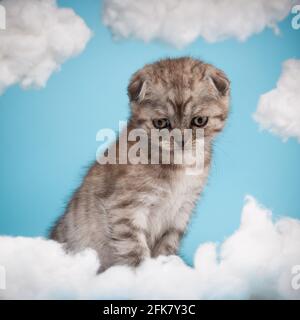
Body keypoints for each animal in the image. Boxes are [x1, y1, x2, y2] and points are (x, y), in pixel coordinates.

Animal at [50, 57, 231, 270]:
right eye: (161, 123)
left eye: (200, 121)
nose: (181, 140)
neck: (178, 166)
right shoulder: (125, 209)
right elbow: (134, 250)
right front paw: (145, 274)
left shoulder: (181, 212)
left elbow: (167, 247)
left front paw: (168, 268)